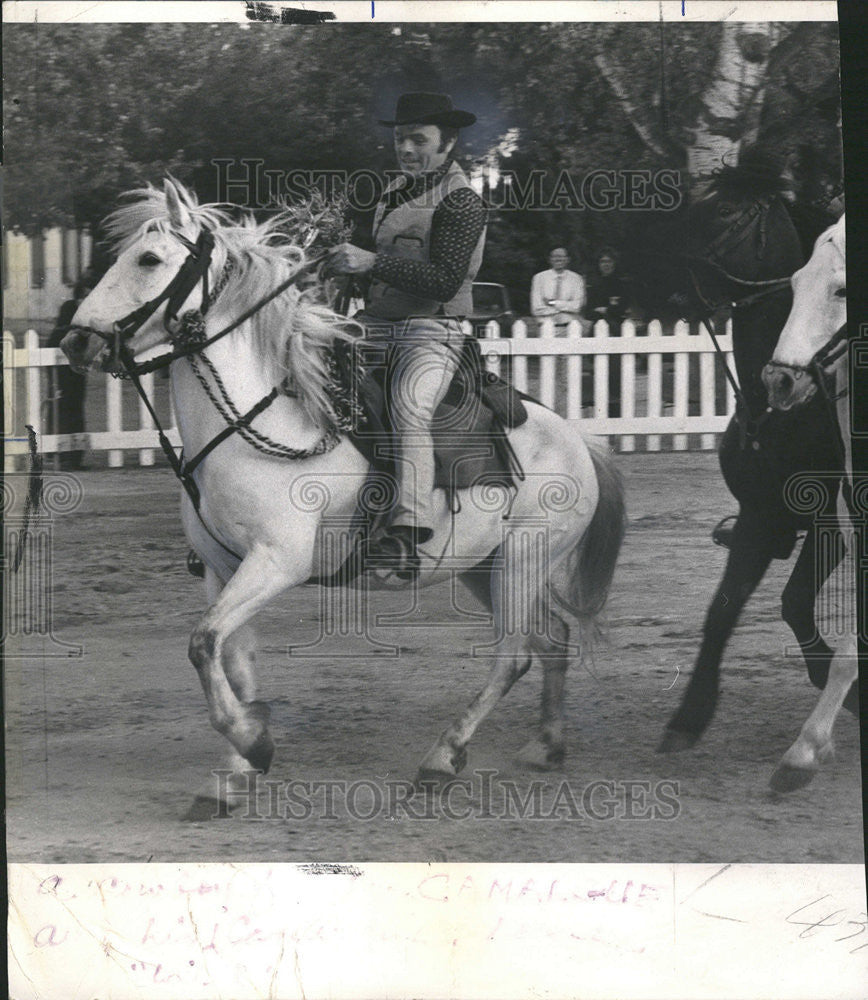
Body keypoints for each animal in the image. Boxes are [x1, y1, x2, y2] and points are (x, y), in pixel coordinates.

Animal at [62, 182, 624, 804]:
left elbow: (203, 642)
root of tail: (577, 438)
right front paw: (235, 770)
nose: (74, 342)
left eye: (148, 260)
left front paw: (251, 742)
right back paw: (546, 746)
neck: (261, 421)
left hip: (523, 560)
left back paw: (443, 756)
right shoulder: (220, 565)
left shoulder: (277, 562)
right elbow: (233, 658)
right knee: (553, 639)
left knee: (514, 656)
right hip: (487, 567)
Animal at [644, 154, 856, 752]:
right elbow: (721, 613)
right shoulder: (760, 518)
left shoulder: (828, 527)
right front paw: (690, 714)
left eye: (723, 211)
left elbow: (792, 601)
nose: (647, 278)